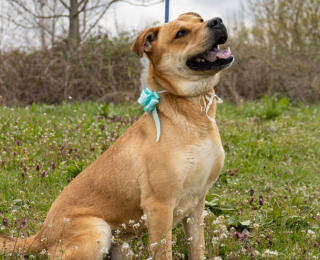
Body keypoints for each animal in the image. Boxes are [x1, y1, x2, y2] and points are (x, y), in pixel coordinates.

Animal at [1, 11, 234, 258]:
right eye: (180, 33)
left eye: (200, 21)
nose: (217, 21)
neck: (193, 112)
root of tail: (41, 235)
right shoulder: (159, 206)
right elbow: (164, 252)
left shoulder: (196, 204)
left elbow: (198, 248)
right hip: (98, 231)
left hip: (121, 244)